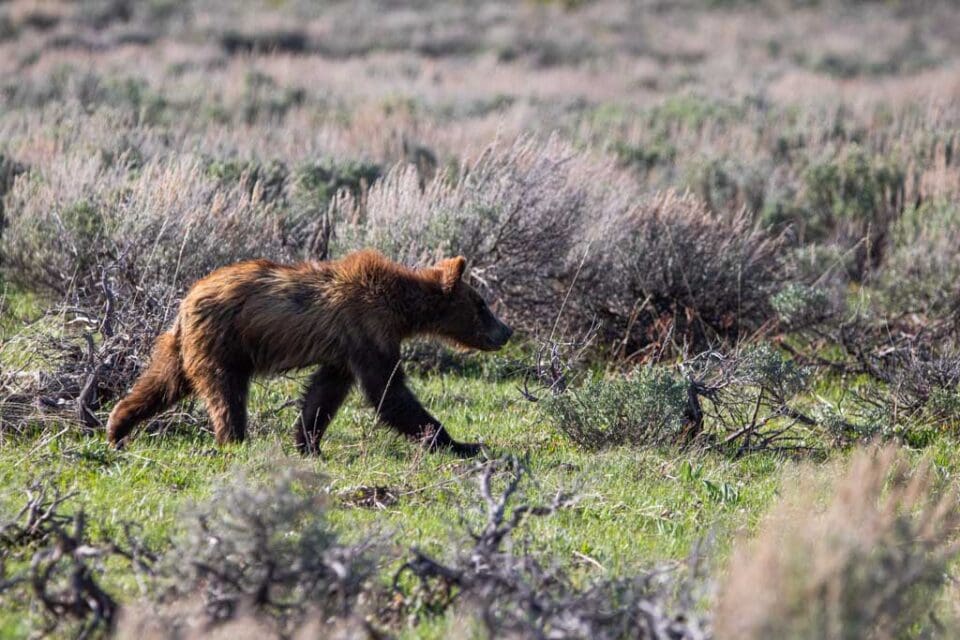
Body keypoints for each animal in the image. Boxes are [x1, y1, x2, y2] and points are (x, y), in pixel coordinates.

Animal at [104, 250, 510, 456]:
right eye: (481, 304)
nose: (506, 331)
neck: (400, 308)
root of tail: (186, 299)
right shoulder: (368, 330)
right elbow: (388, 392)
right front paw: (461, 443)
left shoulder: (346, 349)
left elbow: (324, 393)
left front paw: (307, 443)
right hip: (223, 342)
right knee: (225, 393)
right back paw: (234, 440)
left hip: (187, 345)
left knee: (162, 382)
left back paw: (117, 425)